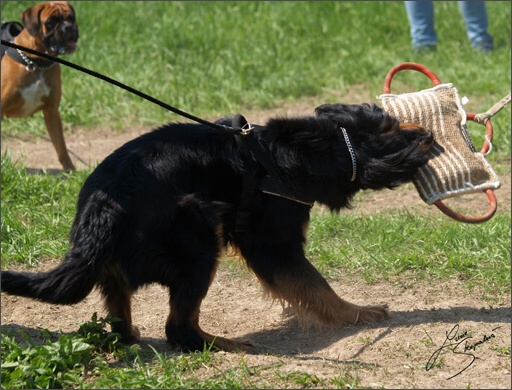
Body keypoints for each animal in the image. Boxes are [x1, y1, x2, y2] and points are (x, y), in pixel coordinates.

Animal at [0, 103, 434, 350]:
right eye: (396, 130)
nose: (429, 133)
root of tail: (102, 207)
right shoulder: (273, 246)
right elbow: (316, 286)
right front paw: (357, 313)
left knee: (122, 316)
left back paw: (132, 335)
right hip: (200, 239)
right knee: (179, 329)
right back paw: (225, 344)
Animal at [1, 1, 79, 171]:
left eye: (71, 18)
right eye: (51, 21)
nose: (69, 27)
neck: (36, 63)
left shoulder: (52, 112)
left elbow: (61, 147)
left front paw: (70, 171)